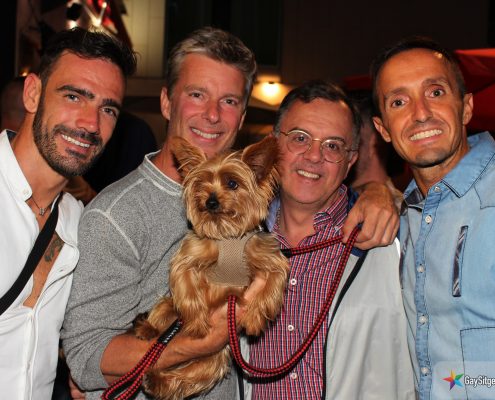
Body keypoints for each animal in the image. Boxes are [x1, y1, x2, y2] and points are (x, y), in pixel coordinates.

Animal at [133, 135, 289, 399]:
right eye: (201, 183)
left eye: (232, 183)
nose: (210, 201)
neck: (227, 235)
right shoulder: (189, 255)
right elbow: (187, 288)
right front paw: (197, 324)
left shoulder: (270, 256)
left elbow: (274, 284)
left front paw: (255, 318)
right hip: (167, 308)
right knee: (162, 321)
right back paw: (147, 329)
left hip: (213, 358)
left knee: (188, 376)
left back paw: (156, 380)